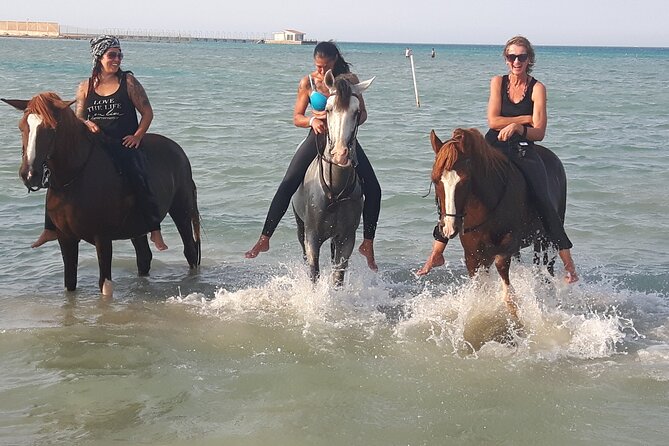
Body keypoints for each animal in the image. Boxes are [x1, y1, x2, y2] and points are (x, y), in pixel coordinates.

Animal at [2, 93, 201, 296]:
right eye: (21, 127)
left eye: (51, 129)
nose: (29, 175)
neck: (76, 176)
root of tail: (178, 151)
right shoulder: (66, 239)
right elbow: (70, 283)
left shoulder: (102, 238)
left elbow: (105, 285)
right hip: (137, 227)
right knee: (144, 257)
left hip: (181, 211)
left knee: (190, 251)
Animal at [429, 128, 567, 315]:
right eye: (436, 180)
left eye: (464, 180)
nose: (449, 227)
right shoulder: (473, 255)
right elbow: (479, 286)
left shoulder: (506, 245)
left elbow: (502, 270)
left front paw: (511, 304)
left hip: (547, 239)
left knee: (547, 267)